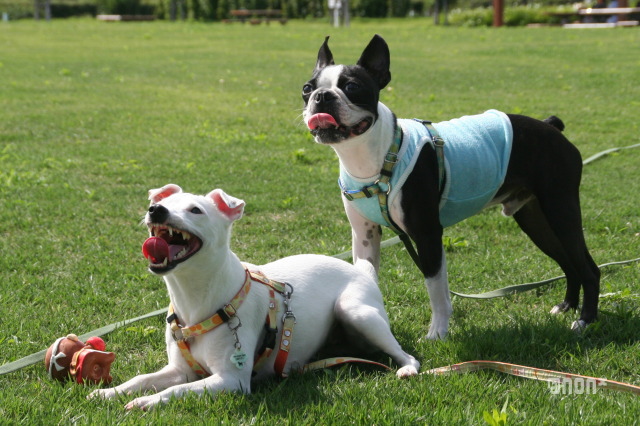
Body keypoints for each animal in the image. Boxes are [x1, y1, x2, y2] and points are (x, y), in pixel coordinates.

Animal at [89, 184, 419, 410]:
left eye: (196, 210)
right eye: (159, 202)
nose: (155, 210)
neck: (195, 302)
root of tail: (362, 270)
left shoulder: (231, 380)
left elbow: (177, 390)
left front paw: (148, 402)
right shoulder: (179, 370)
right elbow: (141, 379)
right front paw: (108, 392)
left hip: (357, 312)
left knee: (405, 353)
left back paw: (406, 368)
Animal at [301, 35, 600, 340]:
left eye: (352, 87)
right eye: (307, 88)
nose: (322, 96)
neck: (375, 158)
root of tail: (550, 126)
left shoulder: (427, 234)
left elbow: (434, 286)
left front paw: (437, 333)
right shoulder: (365, 235)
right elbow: (374, 275)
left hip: (561, 210)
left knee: (588, 268)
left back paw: (585, 320)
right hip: (534, 218)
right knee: (568, 263)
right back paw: (566, 306)